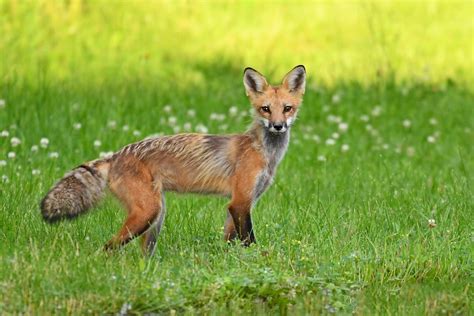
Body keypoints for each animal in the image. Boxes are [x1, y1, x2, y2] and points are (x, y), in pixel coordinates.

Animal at [41, 65, 308, 256]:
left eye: (287, 108)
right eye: (265, 109)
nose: (278, 126)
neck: (264, 153)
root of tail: (115, 155)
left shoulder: (241, 203)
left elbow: (230, 242)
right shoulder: (240, 202)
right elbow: (249, 241)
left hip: (155, 217)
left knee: (141, 253)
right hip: (147, 213)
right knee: (107, 248)